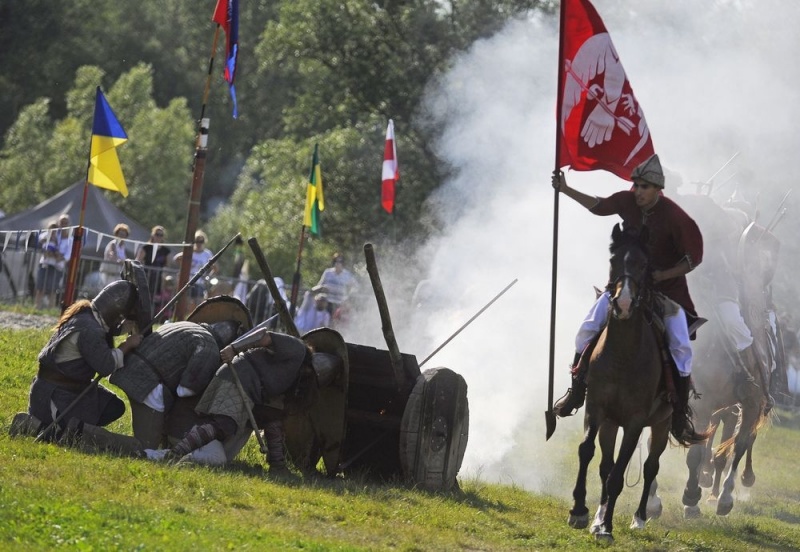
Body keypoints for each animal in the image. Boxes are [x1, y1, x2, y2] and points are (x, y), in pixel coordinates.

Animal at [564, 224, 684, 544]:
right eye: (614, 260)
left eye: (643, 264)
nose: (624, 302)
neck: (623, 355)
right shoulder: (596, 409)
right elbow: (587, 452)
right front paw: (580, 511)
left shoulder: (635, 421)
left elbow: (619, 474)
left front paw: (607, 527)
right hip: (610, 423)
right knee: (605, 465)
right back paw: (598, 515)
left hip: (661, 424)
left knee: (650, 466)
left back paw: (638, 518)